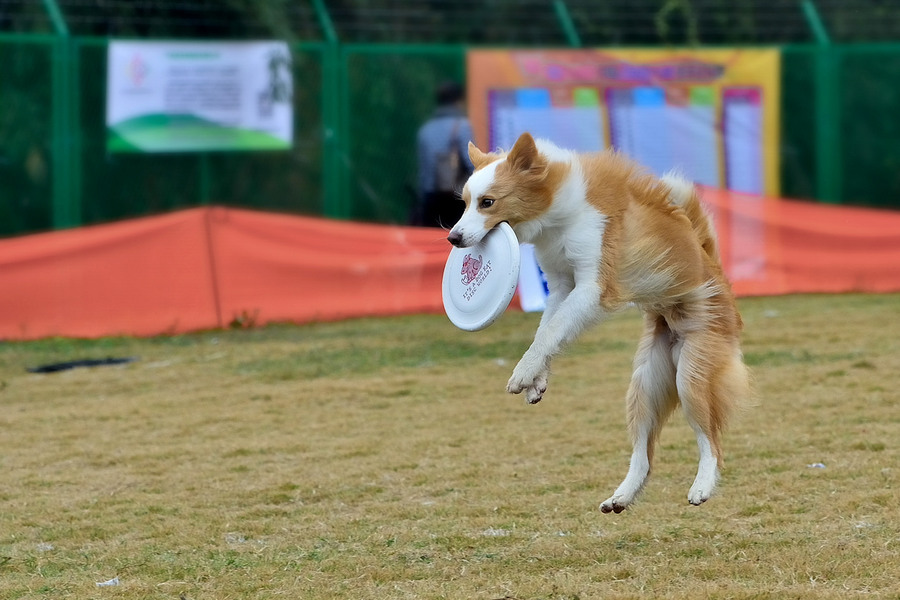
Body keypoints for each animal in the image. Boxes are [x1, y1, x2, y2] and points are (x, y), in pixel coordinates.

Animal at [446, 131, 748, 510]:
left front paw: (523, 373)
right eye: (465, 202)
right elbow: (547, 331)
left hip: (692, 376)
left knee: (712, 443)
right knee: (644, 454)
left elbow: (553, 331)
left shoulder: (592, 288)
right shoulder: (561, 286)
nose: (453, 238)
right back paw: (622, 496)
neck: (563, 214)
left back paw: (702, 486)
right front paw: (537, 380)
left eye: (487, 202)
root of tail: (717, 274)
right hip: (646, 384)